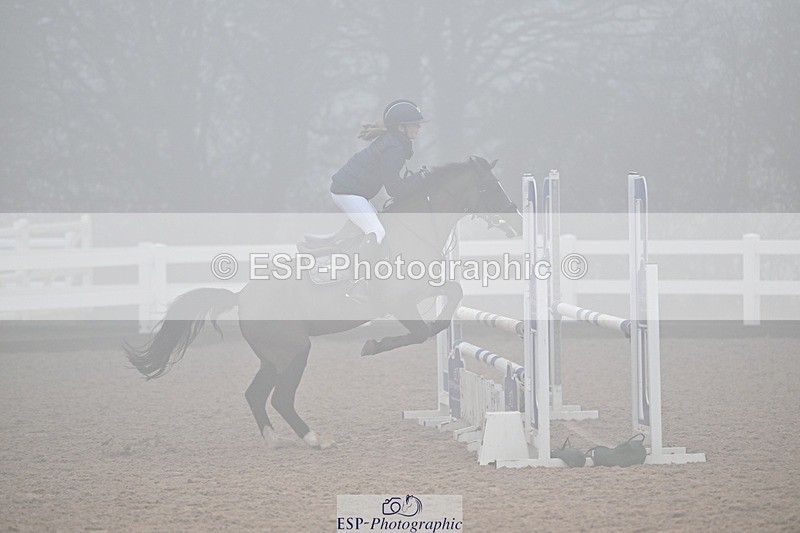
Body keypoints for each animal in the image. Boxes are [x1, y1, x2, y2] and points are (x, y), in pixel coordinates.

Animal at [125, 156, 522, 450]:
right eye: (490, 186)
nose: (517, 220)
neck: (415, 230)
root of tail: (240, 298)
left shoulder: (426, 287)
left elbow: (452, 296)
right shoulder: (400, 301)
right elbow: (420, 331)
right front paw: (374, 344)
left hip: (274, 358)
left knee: (255, 394)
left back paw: (275, 440)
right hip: (294, 351)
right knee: (280, 398)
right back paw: (315, 438)